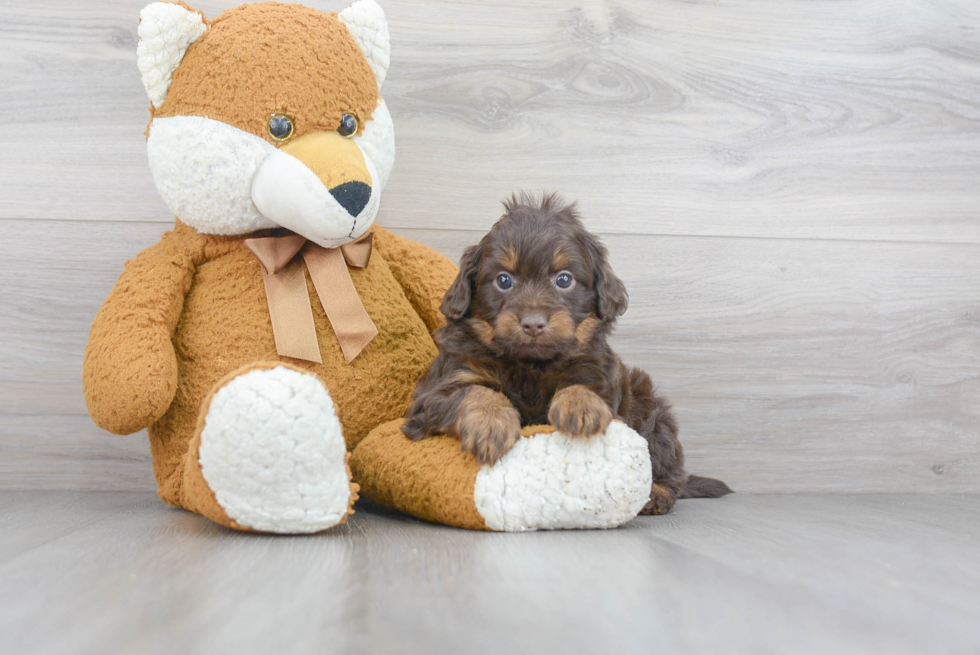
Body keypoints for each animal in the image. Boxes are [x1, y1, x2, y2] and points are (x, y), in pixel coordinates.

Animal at [402, 192, 732, 516]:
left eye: (564, 279)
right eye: (503, 280)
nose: (533, 324)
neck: (532, 364)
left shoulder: (598, 373)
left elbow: (582, 386)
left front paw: (581, 407)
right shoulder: (441, 387)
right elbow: (475, 392)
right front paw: (491, 424)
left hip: (653, 410)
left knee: (670, 471)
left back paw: (656, 494)